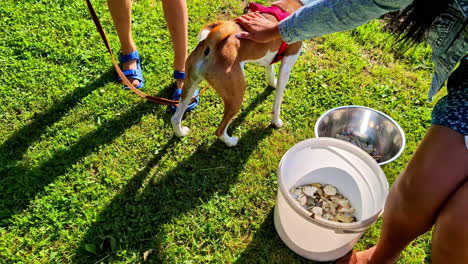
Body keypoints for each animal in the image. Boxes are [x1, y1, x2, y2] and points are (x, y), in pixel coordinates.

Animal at [172, 0, 304, 146]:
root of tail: (211, 43)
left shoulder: (271, 58)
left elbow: (270, 73)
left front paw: (273, 83)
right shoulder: (286, 65)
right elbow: (277, 102)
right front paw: (276, 122)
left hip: (190, 86)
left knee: (175, 117)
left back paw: (181, 133)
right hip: (236, 96)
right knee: (219, 130)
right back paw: (231, 141)